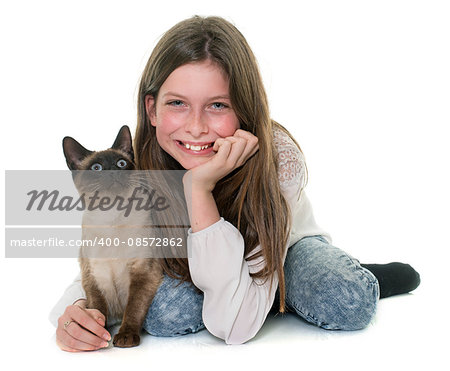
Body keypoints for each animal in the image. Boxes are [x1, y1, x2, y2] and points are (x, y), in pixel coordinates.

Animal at [62, 125, 179, 348]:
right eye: (96, 168)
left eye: (121, 163)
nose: (113, 171)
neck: (112, 220)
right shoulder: (93, 276)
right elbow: (96, 310)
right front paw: (95, 334)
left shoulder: (143, 272)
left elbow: (133, 309)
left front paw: (125, 337)